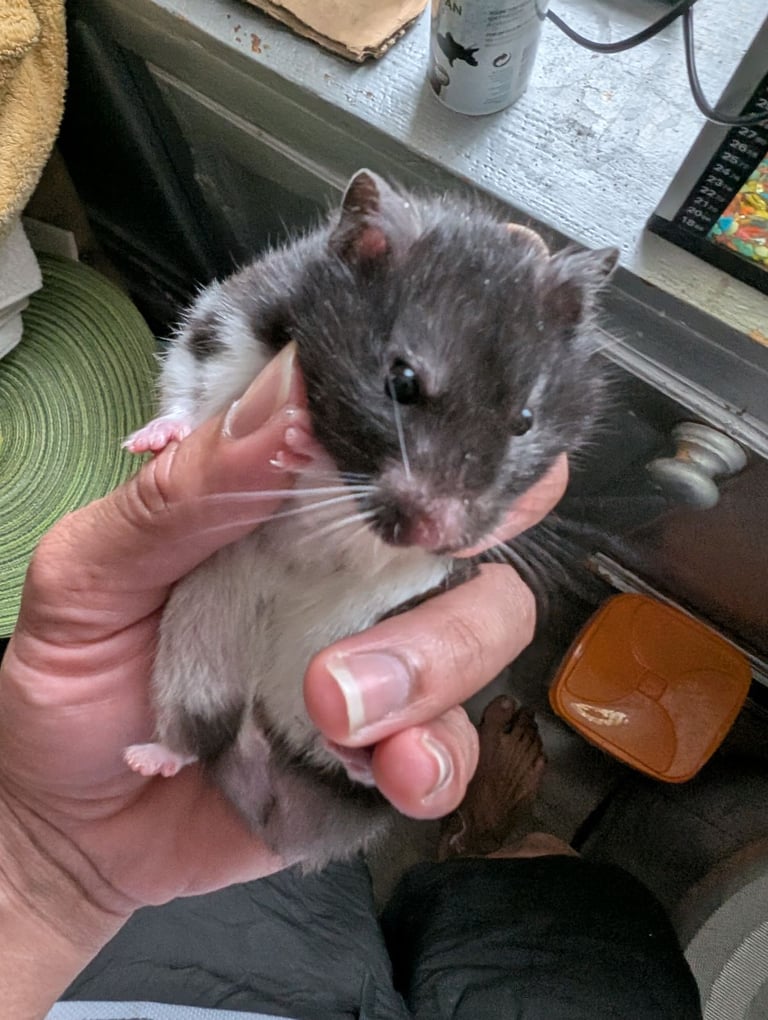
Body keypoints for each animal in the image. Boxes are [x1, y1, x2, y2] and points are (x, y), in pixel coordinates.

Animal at [123, 169, 618, 870]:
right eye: (401, 382)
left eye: (525, 420)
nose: (441, 533)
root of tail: (260, 719)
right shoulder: (225, 324)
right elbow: (193, 399)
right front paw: (169, 443)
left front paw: (306, 452)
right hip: (193, 652)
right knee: (197, 735)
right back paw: (149, 757)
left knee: (334, 749)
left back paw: (354, 757)